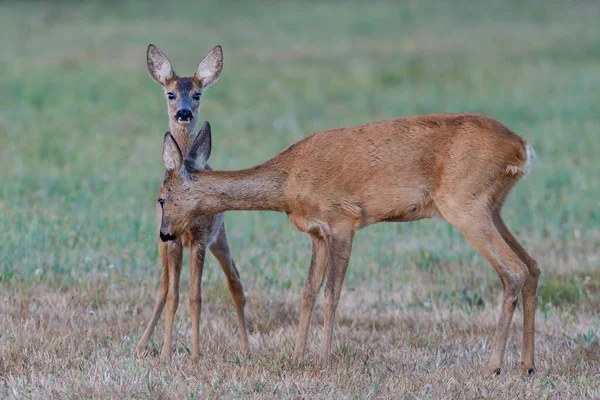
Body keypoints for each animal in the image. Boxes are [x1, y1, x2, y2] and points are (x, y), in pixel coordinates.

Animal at [135, 45, 248, 360]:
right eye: (170, 93)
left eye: (197, 94)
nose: (183, 113)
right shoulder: (171, 239)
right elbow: (173, 295)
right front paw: (165, 353)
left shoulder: (199, 238)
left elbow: (195, 297)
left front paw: (195, 354)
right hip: (161, 242)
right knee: (163, 288)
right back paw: (140, 344)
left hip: (219, 236)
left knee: (236, 284)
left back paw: (246, 349)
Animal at [159, 115, 540, 376]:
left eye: (161, 199)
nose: (164, 234)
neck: (287, 183)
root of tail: (521, 147)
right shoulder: (317, 232)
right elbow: (308, 292)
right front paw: (297, 357)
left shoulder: (343, 219)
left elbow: (332, 293)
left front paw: (324, 360)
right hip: (493, 206)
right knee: (533, 266)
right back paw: (526, 365)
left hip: (464, 204)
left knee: (513, 270)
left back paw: (493, 365)